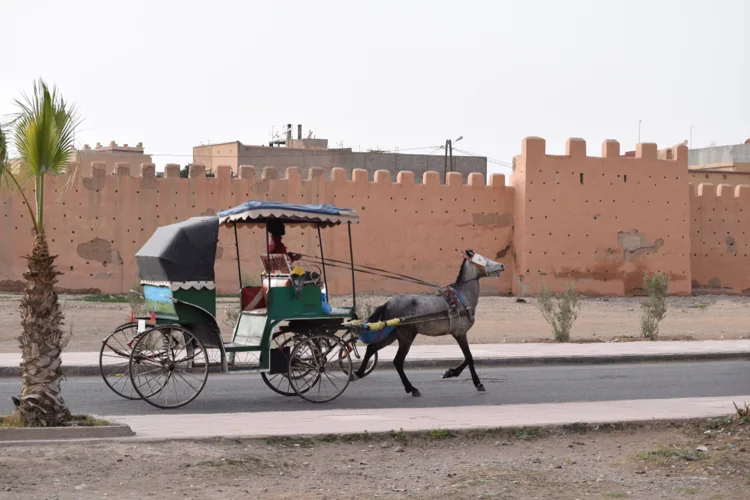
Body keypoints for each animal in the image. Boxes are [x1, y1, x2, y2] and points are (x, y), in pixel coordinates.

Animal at [352, 250, 506, 398]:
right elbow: (469, 357)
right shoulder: (460, 333)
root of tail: (387, 304)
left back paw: (359, 373)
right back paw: (411, 388)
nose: (502, 265)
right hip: (406, 336)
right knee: (397, 361)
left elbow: (467, 358)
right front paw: (477, 383)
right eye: (482, 258)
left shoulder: (458, 334)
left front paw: (450, 372)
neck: (462, 297)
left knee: (372, 348)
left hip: (392, 334)